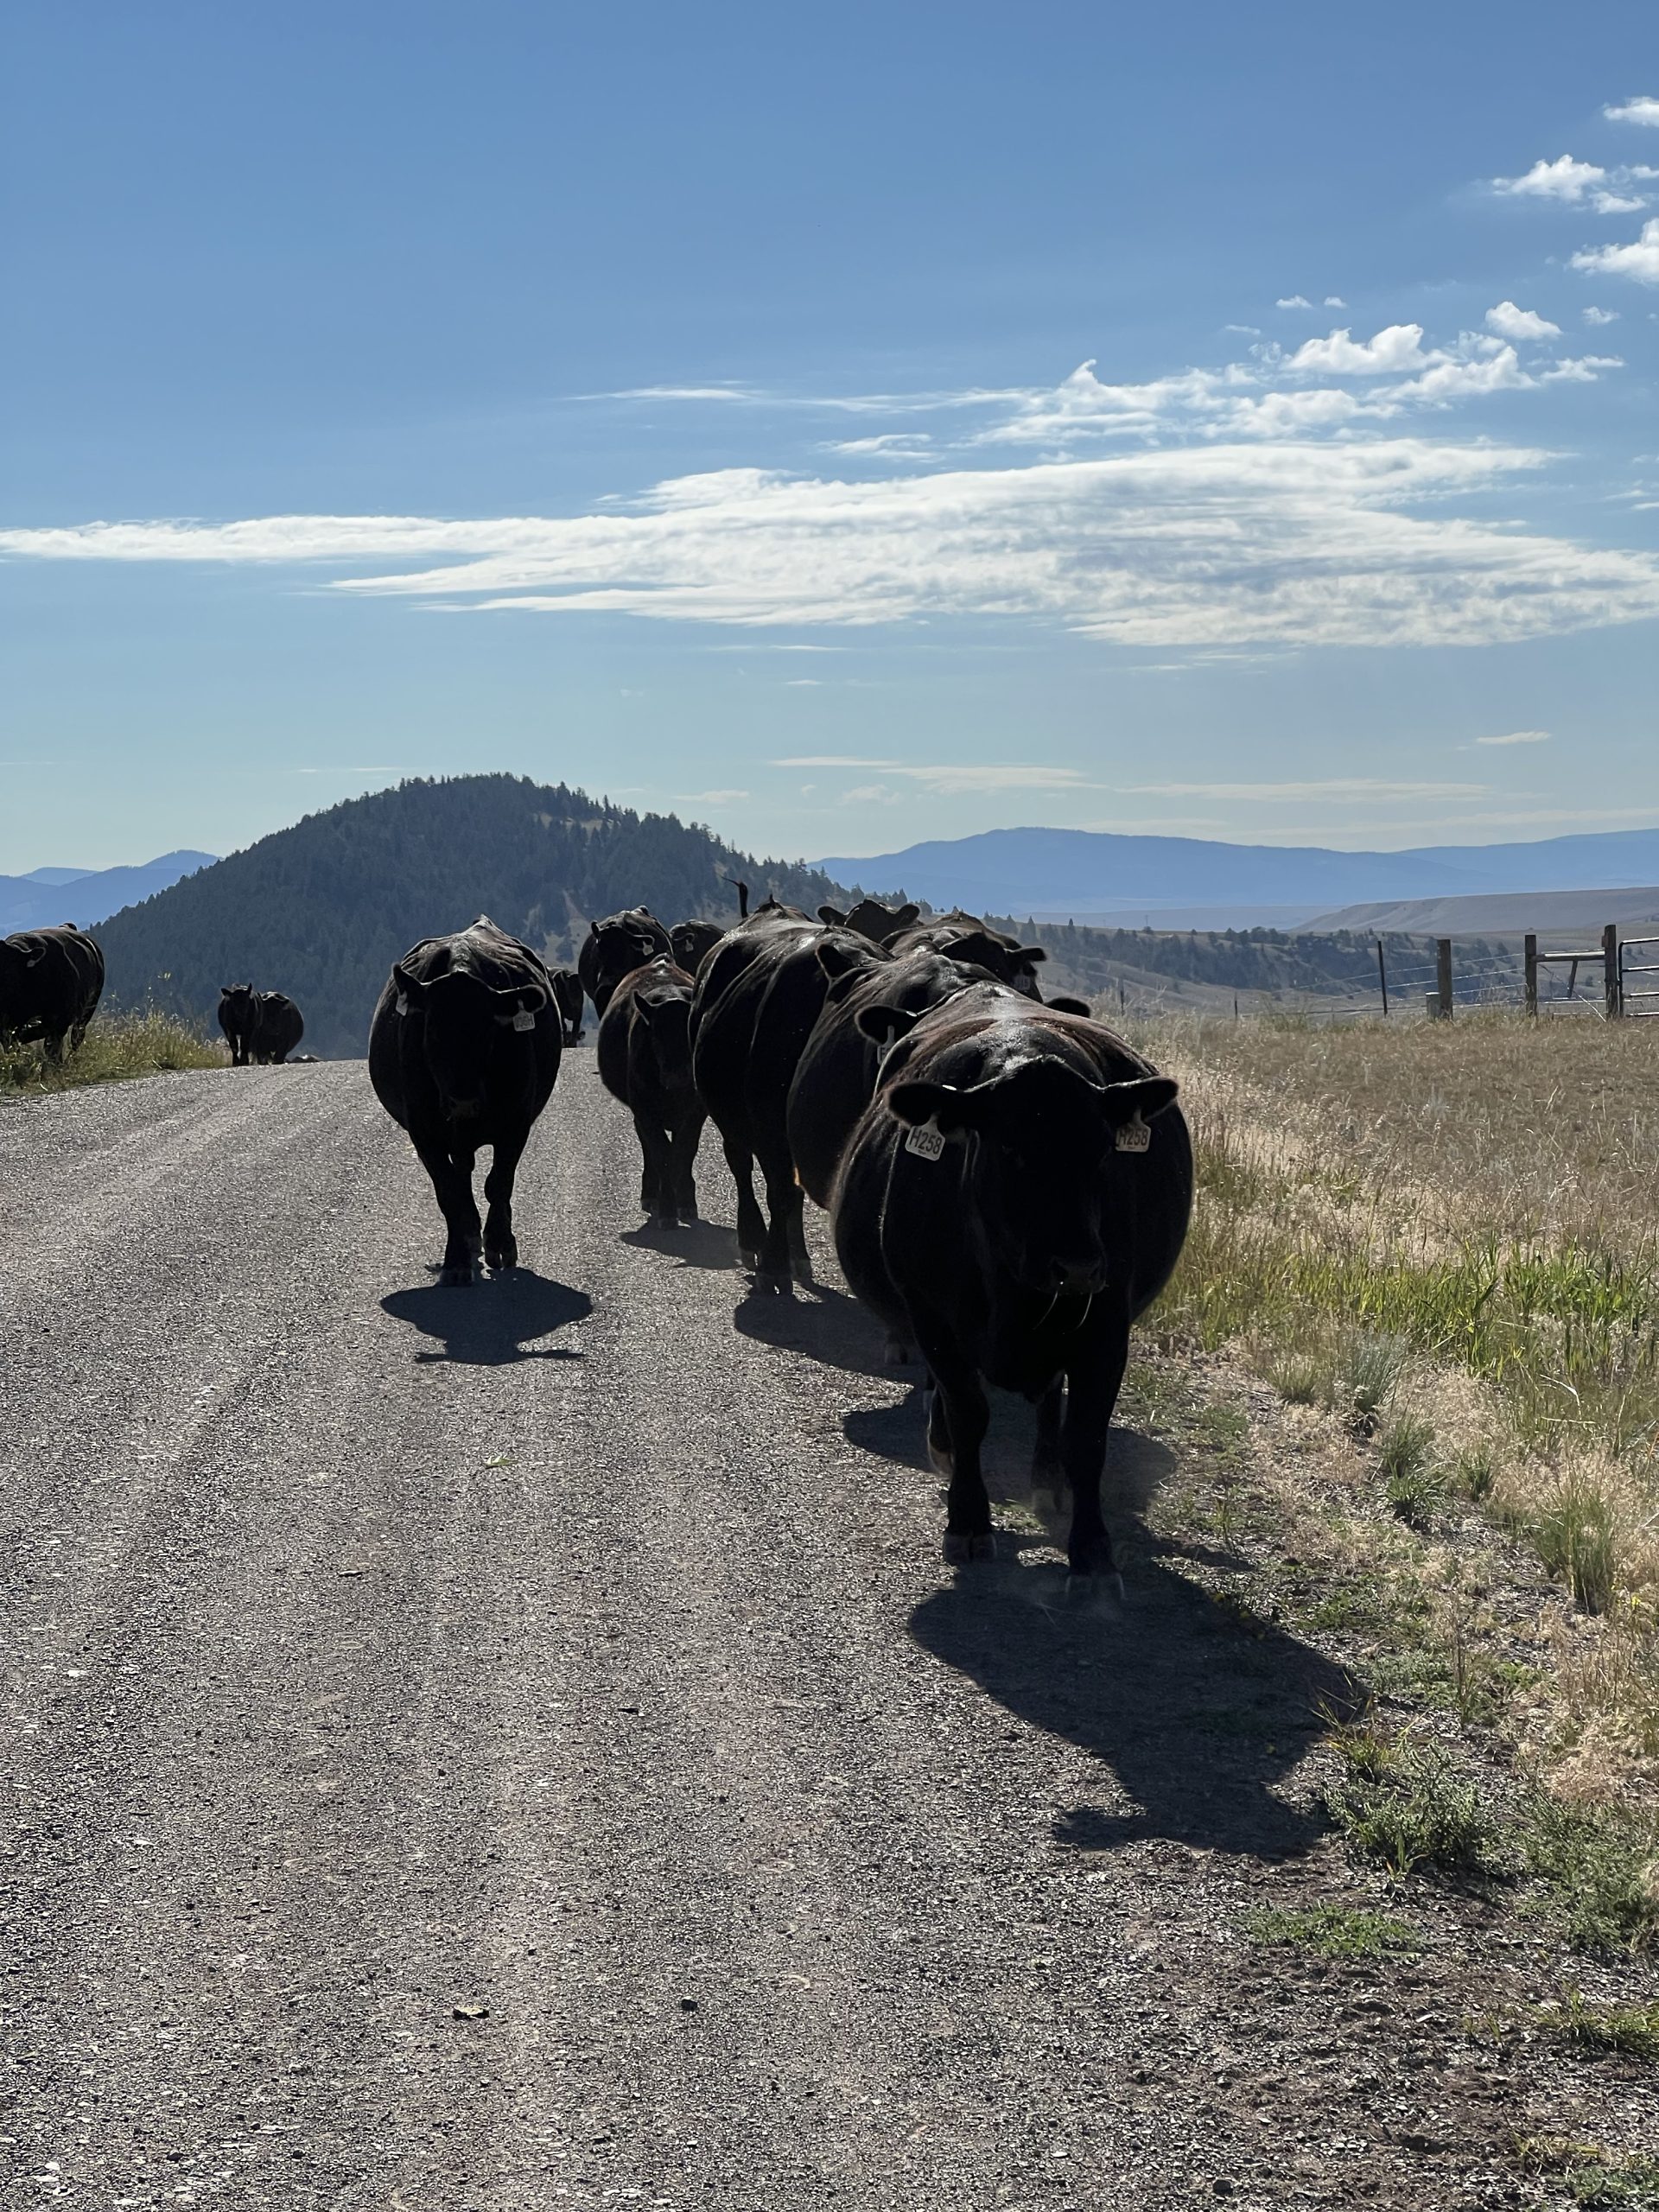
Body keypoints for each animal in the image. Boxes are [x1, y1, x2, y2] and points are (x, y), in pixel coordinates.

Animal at [367, 916, 561, 1285]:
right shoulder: (423, 1131)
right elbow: (449, 1193)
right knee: (461, 1177)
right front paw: (456, 1260)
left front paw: (501, 1244)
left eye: (488, 1032)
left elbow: (499, 1183)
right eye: (430, 1031)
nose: (463, 1102)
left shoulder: (516, 1124)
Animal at [597, 957, 705, 1228]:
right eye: (656, 1036)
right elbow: (662, 1154)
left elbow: (684, 1151)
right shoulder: (645, 1111)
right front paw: (667, 1210)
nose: (678, 1075)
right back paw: (650, 1195)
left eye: (690, 1033)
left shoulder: (696, 1113)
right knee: (649, 1149)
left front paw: (686, 1202)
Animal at [691, 913, 890, 1291]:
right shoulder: (771, 1130)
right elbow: (779, 1193)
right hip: (729, 1117)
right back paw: (753, 1239)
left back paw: (798, 1256)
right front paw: (773, 1263)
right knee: (742, 1167)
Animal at [831, 995, 1190, 1586]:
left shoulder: (1106, 1327)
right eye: (1009, 1150)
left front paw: (1092, 1550)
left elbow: (1086, 1437)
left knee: (1049, 1402)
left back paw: (1048, 1481)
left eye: (1102, 1153)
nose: (1078, 1266)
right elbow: (967, 1412)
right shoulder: (932, 1316)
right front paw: (969, 1521)